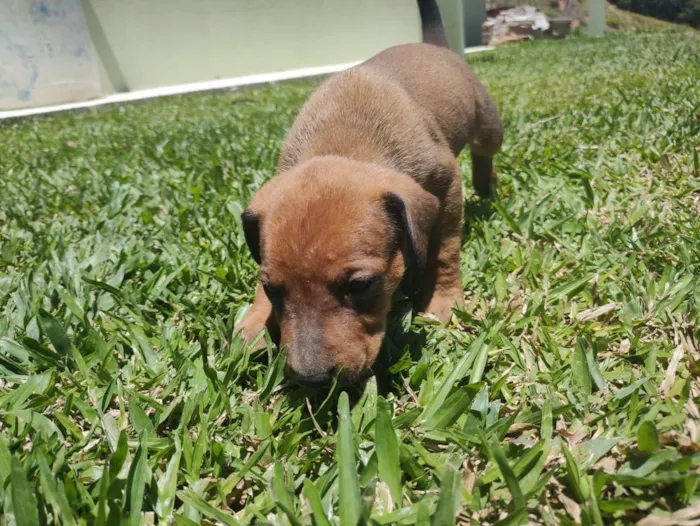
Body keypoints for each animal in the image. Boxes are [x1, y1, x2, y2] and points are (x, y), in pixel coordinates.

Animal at [238, 0, 500, 388]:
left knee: (485, 151)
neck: (343, 142)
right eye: (272, 289)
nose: (312, 380)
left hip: (487, 124)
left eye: (361, 285)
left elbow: (445, 250)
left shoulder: (447, 183)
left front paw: (442, 300)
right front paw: (255, 323)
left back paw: (487, 185)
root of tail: (433, 46)